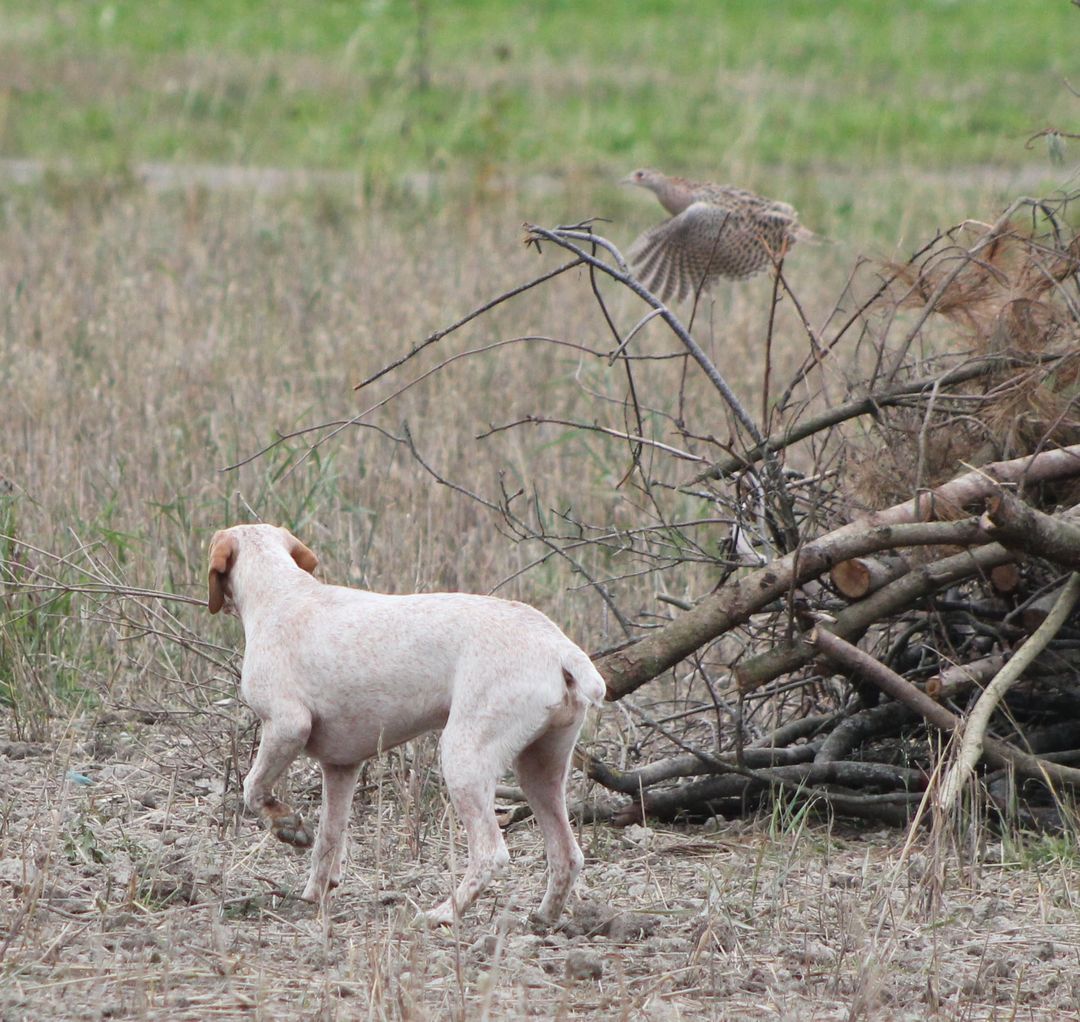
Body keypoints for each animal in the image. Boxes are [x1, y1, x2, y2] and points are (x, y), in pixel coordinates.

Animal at [206, 525, 604, 924]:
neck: (279, 591)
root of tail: (558, 647)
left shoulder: (287, 725)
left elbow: (253, 788)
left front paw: (287, 826)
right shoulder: (341, 767)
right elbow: (328, 841)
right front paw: (313, 898)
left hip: (464, 759)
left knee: (490, 853)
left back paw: (443, 913)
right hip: (540, 770)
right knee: (567, 855)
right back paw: (542, 919)